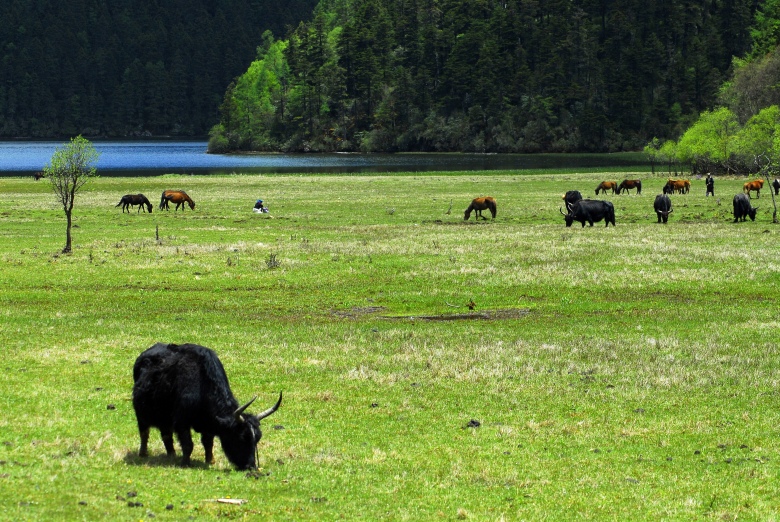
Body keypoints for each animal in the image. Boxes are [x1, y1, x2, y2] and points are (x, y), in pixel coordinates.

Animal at [133, 342, 282, 468]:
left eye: (257, 438)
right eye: (241, 437)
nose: (250, 466)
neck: (203, 386)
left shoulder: (208, 424)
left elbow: (208, 442)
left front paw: (210, 461)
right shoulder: (182, 422)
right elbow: (188, 444)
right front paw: (185, 463)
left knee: (166, 435)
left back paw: (171, 455)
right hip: (141, 415)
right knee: (144, 432)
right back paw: (143, 454)